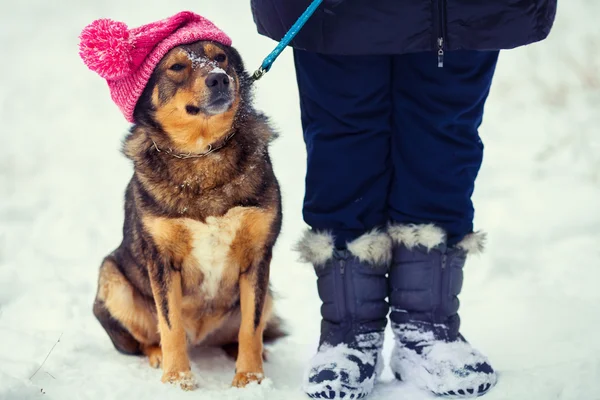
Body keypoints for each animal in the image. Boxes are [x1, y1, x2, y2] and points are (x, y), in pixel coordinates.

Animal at [91, 39, 284, 390]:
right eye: (177, 67)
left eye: (220, 57)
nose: (219, 78)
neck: (200, 153)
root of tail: (203, 338)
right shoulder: (161, 259)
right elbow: (170, 325)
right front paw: (177, 379)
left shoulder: (258, 255)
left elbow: (251, 328)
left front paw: (250, 379)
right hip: (113, 278)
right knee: (146, 339)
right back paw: (157, 356)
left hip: (268, 296)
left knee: (246, 330)